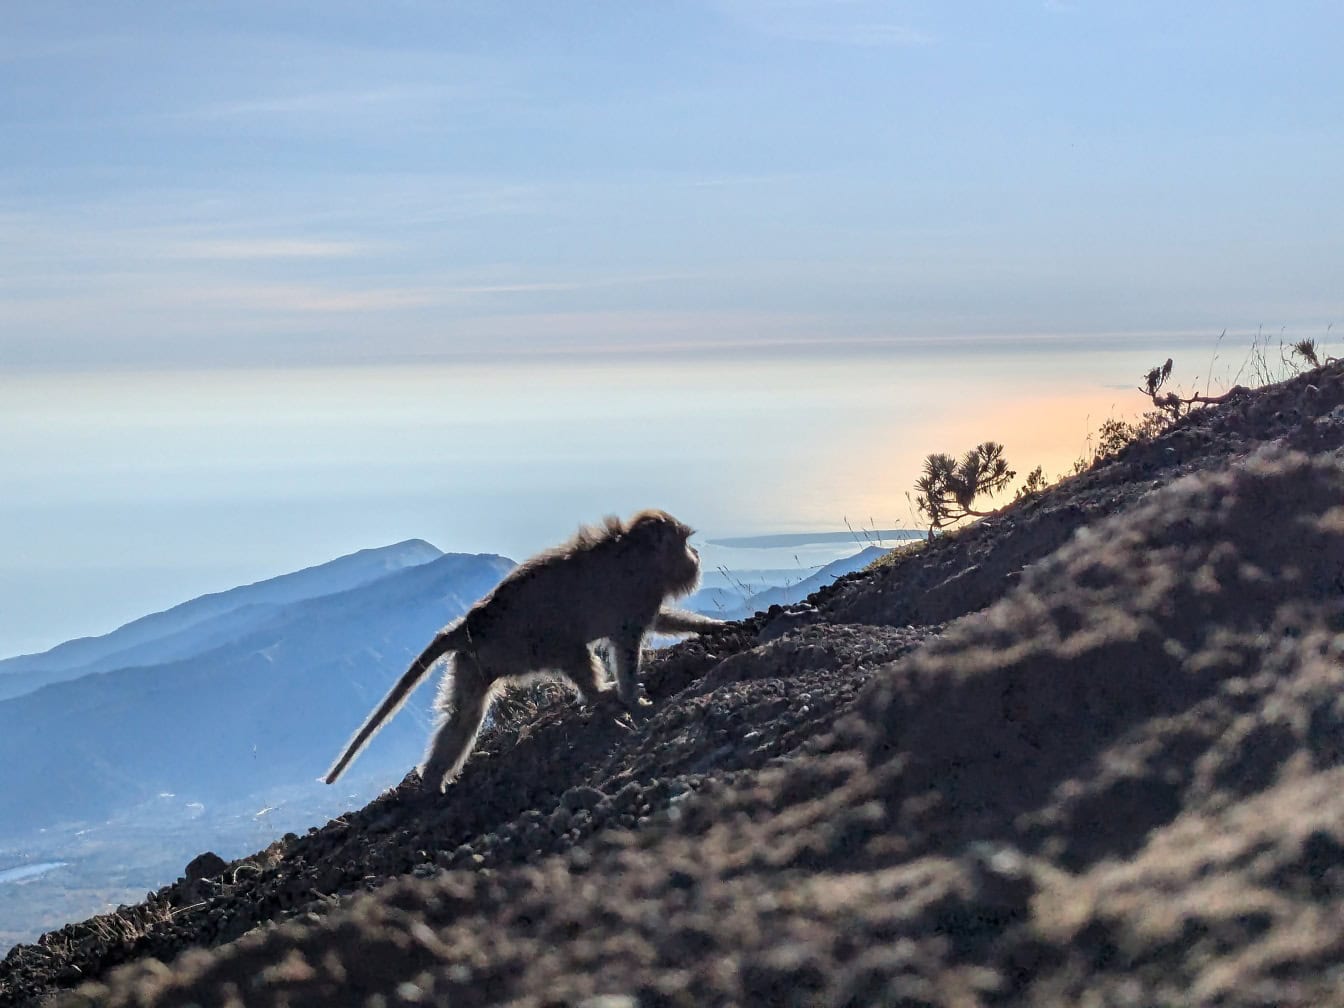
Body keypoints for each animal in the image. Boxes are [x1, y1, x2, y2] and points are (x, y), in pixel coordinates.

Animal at [322, 513, 725, 795]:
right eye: (684, 543)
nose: (696, 555)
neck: (637, 553)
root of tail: (470, 623)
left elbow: (660, 621)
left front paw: (713, 628)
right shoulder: (636, 597)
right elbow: (625, 646)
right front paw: (633, 701)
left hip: (476, 660)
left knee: (464, 714)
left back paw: (433, 778)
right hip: (524, 643)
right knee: (571, 650)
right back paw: (600, 696)